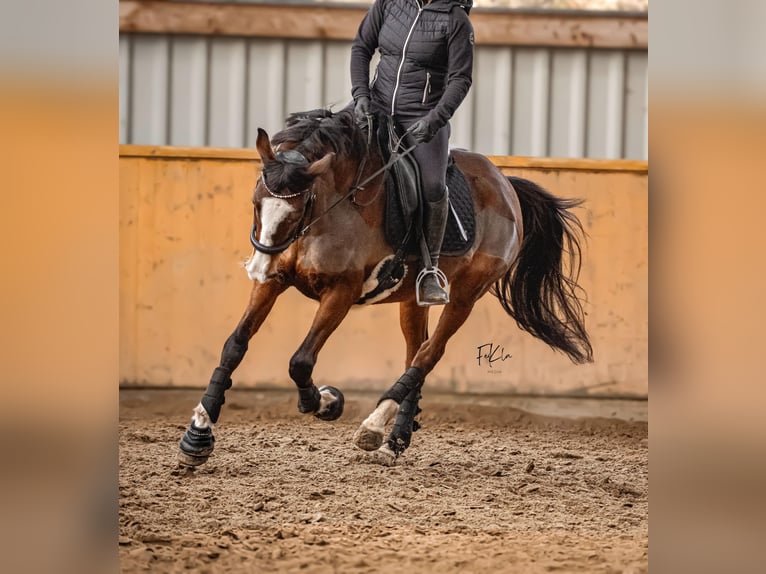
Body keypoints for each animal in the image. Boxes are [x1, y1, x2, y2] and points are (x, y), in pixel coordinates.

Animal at [178, 108, 592, 467]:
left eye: (297, 210)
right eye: (255, 203)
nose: (257, 268)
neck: (329, 210)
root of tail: (504, 183)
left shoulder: (341, 292)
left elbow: (301, 361)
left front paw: (327, 402)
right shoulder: (274, 284)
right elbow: (235, 345)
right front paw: (198, 435)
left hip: (466, 295)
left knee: (430, 353)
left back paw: (374, 427)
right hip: (413, 299)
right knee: (416, 352)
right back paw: (395, 441)